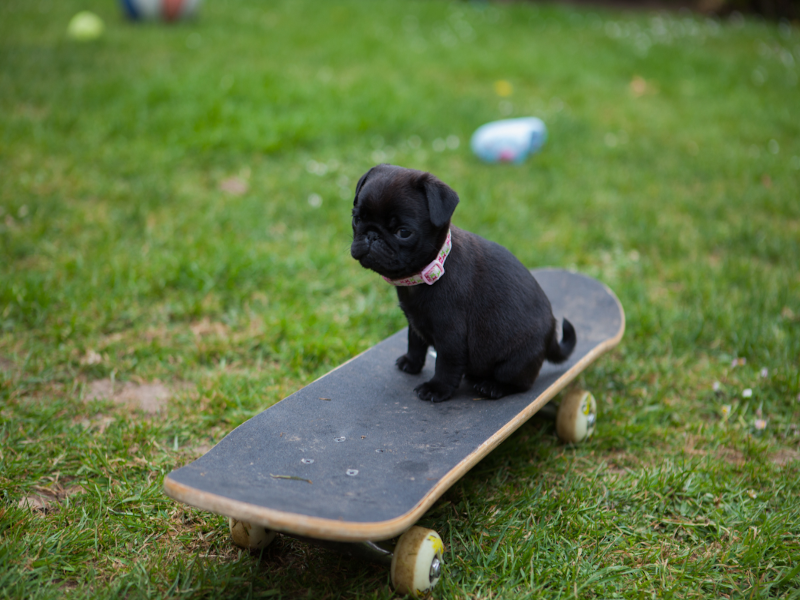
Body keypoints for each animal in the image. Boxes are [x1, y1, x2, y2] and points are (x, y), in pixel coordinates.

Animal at [350, 163, 576, 404]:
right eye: (356, 219)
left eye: (403, 232)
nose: (371, 235)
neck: (431, 270)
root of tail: (552, 331)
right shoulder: (414, 322)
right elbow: (415, 343)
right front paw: (411, 363)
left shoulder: (451, 335)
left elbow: (446, 364)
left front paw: (437, 389)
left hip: (516, 361)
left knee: (520, 382)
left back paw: (492, 387)